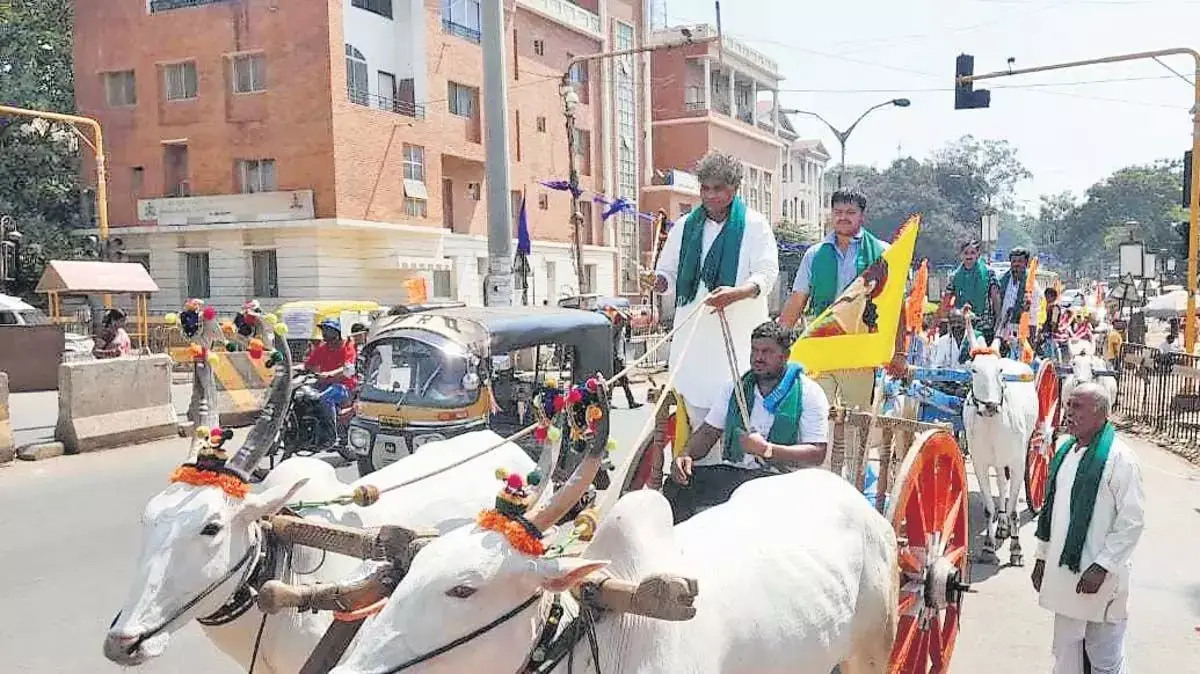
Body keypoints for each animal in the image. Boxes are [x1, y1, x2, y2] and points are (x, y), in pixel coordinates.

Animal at [960, 342, 1036, 563]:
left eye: (999, 371)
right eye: (974, 370)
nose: (991, 406)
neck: (993, 424)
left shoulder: (1018, 464)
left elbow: (1014, 510)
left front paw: (1016, 549)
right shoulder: (980, 463)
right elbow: (988, 508)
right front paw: (988, 546)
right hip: (999, 462)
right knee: (1002, 484)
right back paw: (1001, 525)